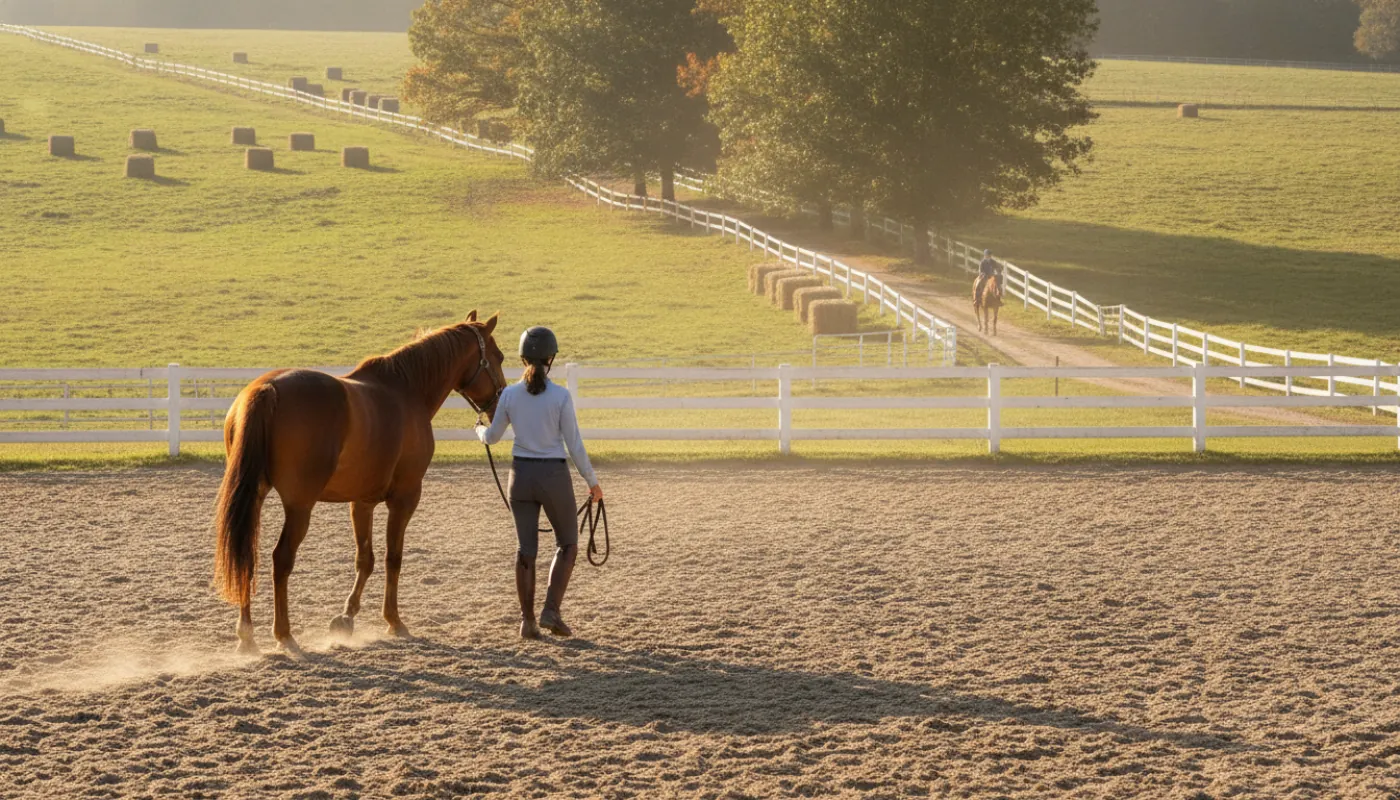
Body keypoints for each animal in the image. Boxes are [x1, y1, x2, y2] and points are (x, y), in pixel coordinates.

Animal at [212, 311, 508, 657]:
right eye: (499, 356)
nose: (499, 404)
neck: (406, 391)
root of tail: (267, 389)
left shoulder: (362, 501)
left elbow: (365, 559)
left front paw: (346, 618)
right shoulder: (405, 498)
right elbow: (394, 558)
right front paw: (394, 621)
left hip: (253, 497)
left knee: (246, 555)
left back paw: (247, 636)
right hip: (299, 507)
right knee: (281, 559)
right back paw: (284, 634)